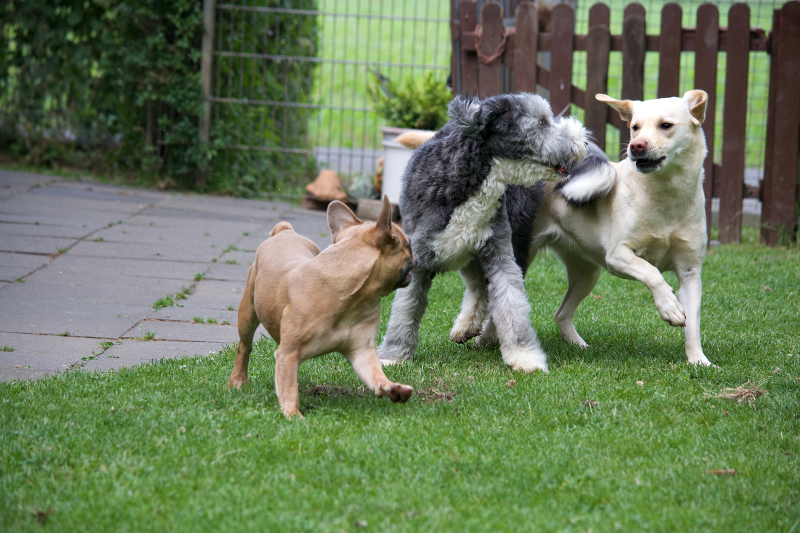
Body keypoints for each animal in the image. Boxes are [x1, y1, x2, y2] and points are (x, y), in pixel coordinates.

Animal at [228, 196, 417, 419]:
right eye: (409, 243)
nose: (417, 254)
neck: (349, 296)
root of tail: (284, 231)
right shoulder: (288, 354)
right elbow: (287, 387)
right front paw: (293, 414)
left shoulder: (362, 352)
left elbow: (374, 372)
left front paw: (391, 387)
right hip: (248, 313)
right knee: (244, 347)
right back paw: (237, 381)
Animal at [377, 93, 589, 373]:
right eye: (542, 122)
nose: (584, 141)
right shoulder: (420, 256)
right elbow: (405, 308)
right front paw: (393, 355)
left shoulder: (500, 252)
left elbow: (511, 301)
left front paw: (525, 357)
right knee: (478, 286)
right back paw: (466, 327)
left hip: (512, 241)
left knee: (484, 289)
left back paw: (481, 332)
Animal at [454, 90, 713, 366]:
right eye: (635, 127)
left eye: (666, 125)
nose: (636, 146)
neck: (666, 196)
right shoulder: (618, 256)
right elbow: (651, 271)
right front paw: (670, 307)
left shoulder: (690, 272)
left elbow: (693, 323)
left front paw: (699, 361)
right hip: (521, 257)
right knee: (500, 302)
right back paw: (486, 338)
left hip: (587, 274)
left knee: (561, 313)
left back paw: (577, 344)